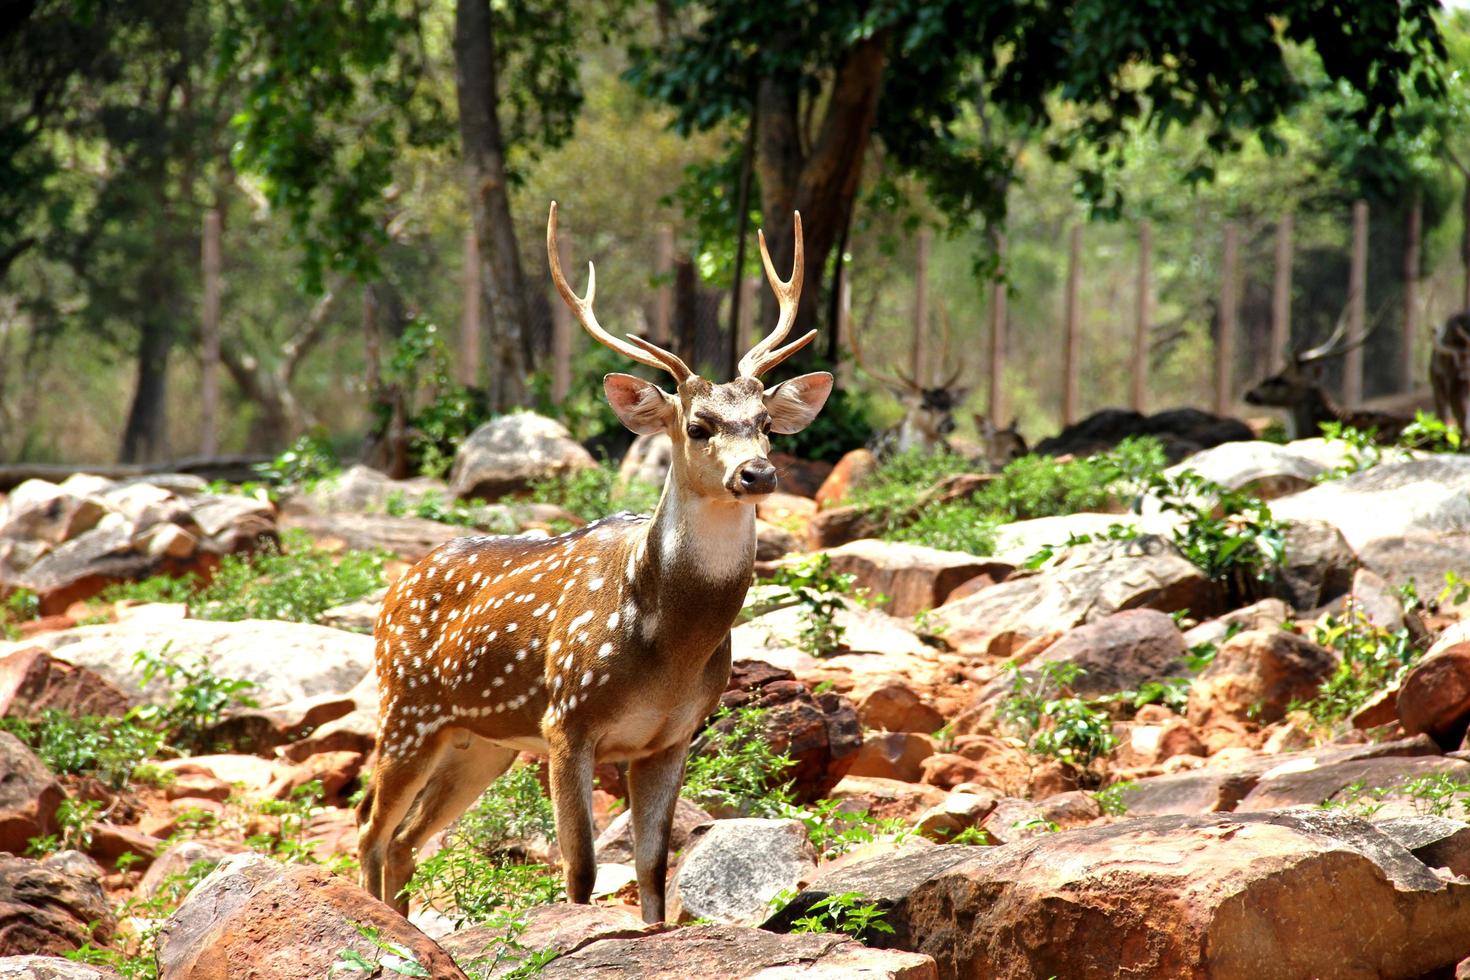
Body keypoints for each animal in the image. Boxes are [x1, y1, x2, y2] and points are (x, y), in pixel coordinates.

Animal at [355, 202, 834, 922]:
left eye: (766, 424)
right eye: (697, 426)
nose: (757, 473)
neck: (668, 647)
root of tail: (395, 587)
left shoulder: (672, 736)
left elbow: (653, 870)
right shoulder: (566, 719)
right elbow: (579, 871)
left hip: (481, 742)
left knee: (408, 837)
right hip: (408, 707)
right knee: (370, 828)